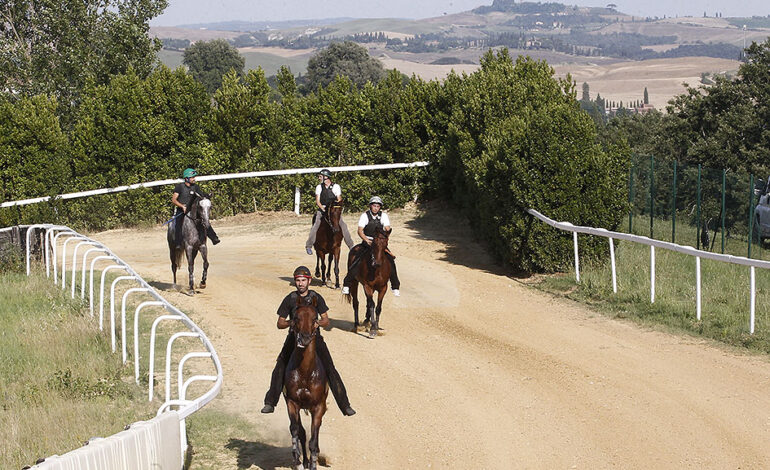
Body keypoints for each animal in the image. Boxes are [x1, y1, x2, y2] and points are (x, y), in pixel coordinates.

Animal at [284, 298, 328, 470]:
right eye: (296, 317)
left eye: (315, 318)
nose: (304, 338)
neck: (305, 373)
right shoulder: (292, 402)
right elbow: (296, 431)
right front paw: (297, 459)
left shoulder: (319, 407)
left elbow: (313, 441)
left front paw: (313, 464)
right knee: (301, 433)